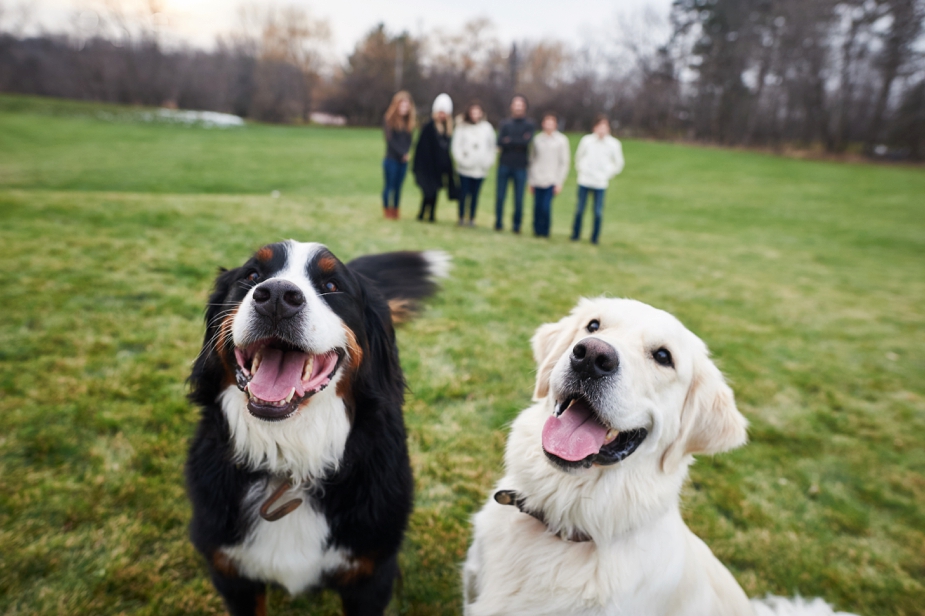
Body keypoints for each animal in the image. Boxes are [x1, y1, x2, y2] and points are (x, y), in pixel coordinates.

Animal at [185, 241, 448, 616]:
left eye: (332, 286)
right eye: (252, 276)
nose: (276, 296)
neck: (290, 461)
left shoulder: (370, 576)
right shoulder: (232, 573)